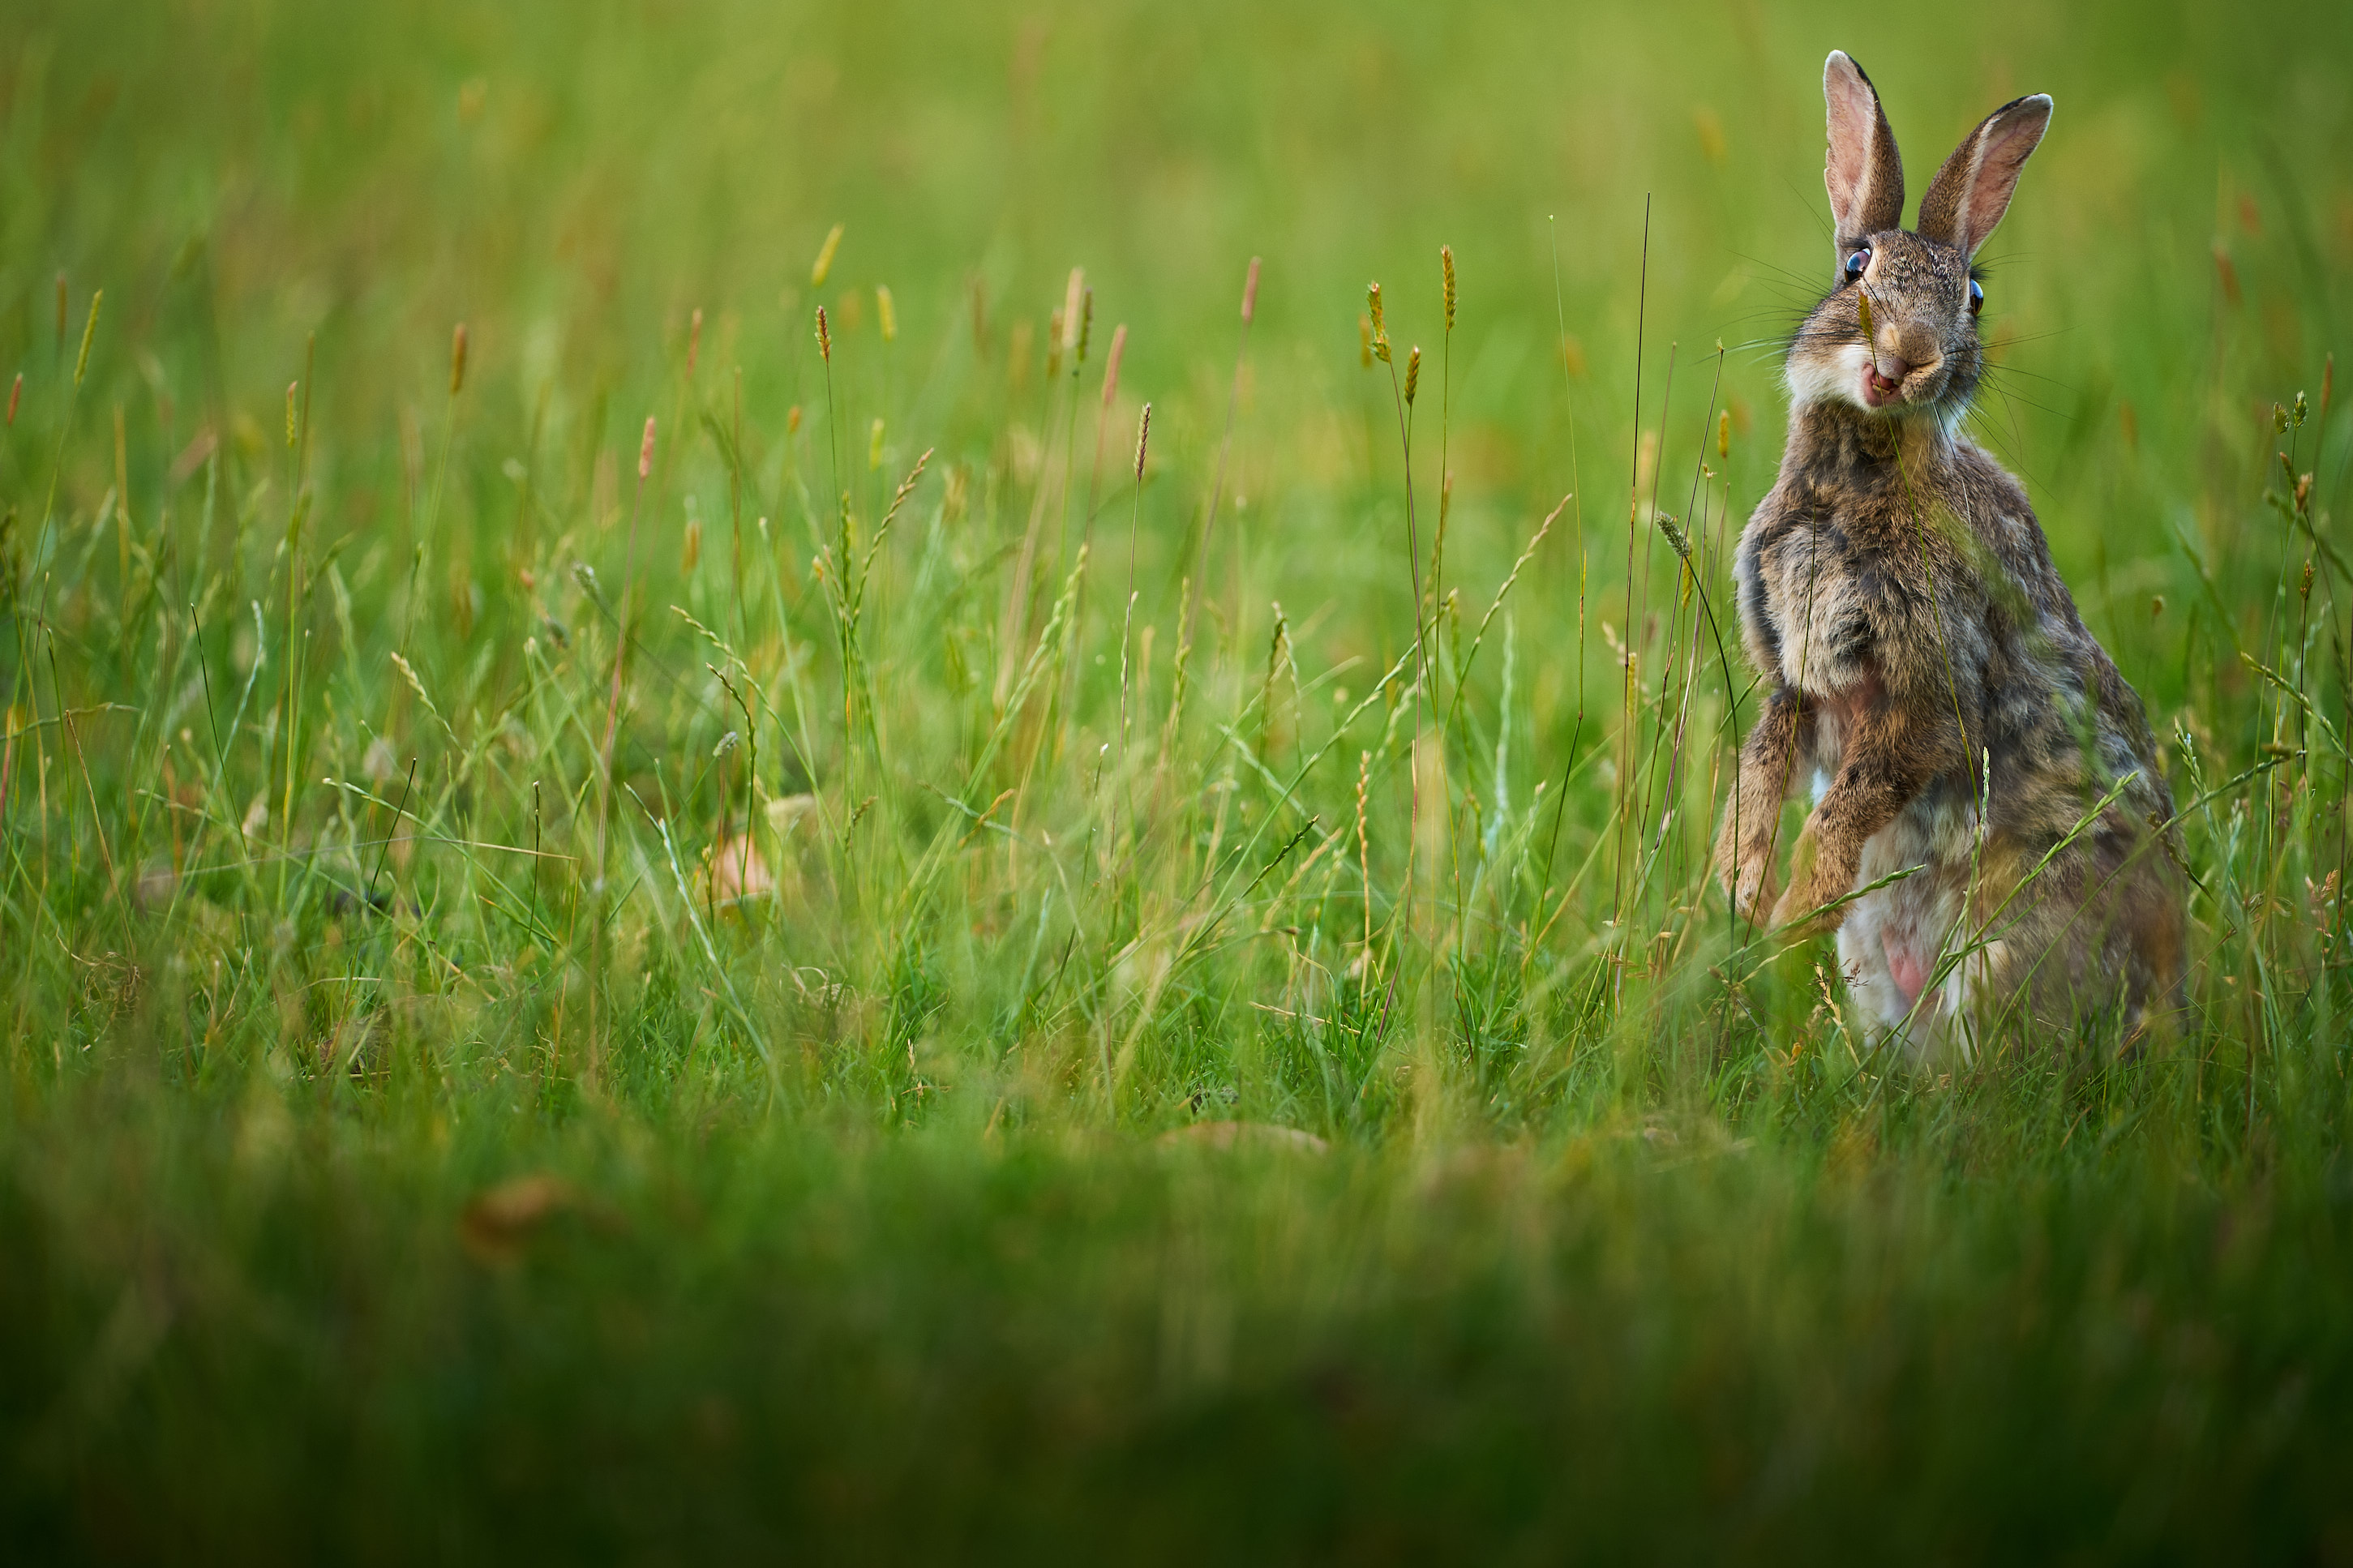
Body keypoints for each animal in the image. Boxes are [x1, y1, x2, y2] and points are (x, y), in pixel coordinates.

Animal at [1712, 51, 2186, 1057]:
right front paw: (1738, 888)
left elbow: (1852, 798)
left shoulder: (1930, 693)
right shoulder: (1795, 675)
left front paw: (1789, 911)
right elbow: (1763, 765)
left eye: (1971, 297)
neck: (1857, 474)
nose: (1907, 356)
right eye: (1855, 266)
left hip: (2005, 949)